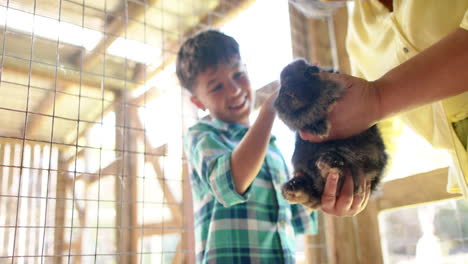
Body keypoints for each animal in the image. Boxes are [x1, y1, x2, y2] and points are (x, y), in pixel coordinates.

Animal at [274, 58, 388, 209]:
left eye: (309, 71)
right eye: (282, 84)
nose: (289, 92)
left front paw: (322, 127)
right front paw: (319, 128)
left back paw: (328, 162)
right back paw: (294, 187)